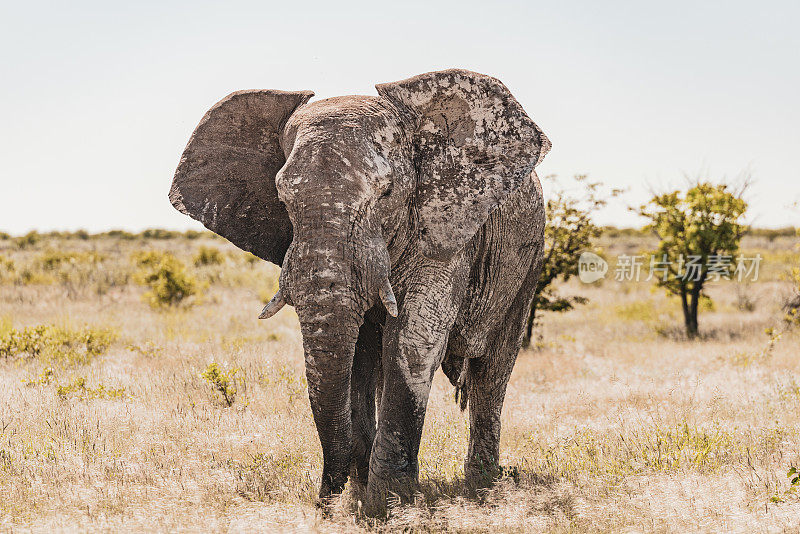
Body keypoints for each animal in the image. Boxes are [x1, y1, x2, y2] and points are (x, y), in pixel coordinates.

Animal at [169, 68, 552, 516]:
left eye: (386, 193)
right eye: (282, 196)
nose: (323, 504)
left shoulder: (446, 227)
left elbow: (413, 340)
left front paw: (390, 507)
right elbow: (356, 357)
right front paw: (365, 498)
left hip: (528, 259)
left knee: (492, 370)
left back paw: (483, 487)